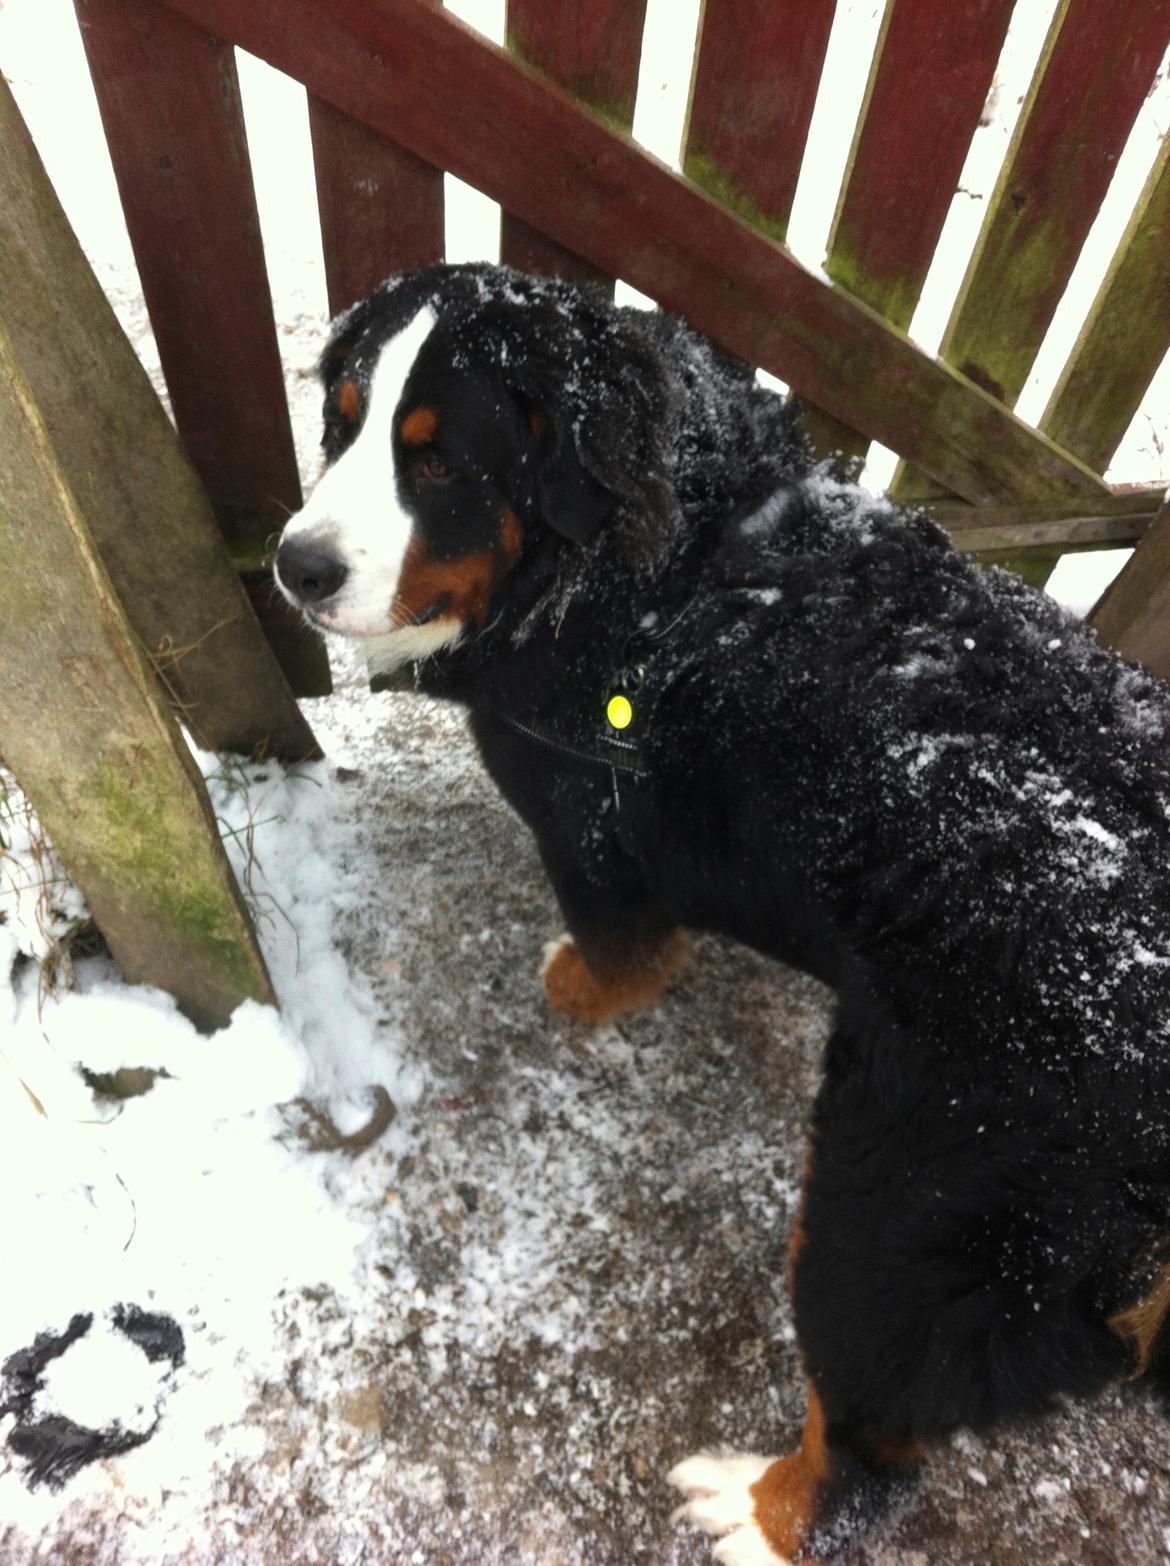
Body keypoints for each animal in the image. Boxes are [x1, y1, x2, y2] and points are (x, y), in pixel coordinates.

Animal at [277, 263, 1170, 1559]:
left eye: (439, 464)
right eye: (341, 422)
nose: (295, 566)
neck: (661, 569)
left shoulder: (589, 830)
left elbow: (619, 953)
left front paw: (576, 986)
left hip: (900, 1203)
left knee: (871, 1442)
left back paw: (755, 1509)